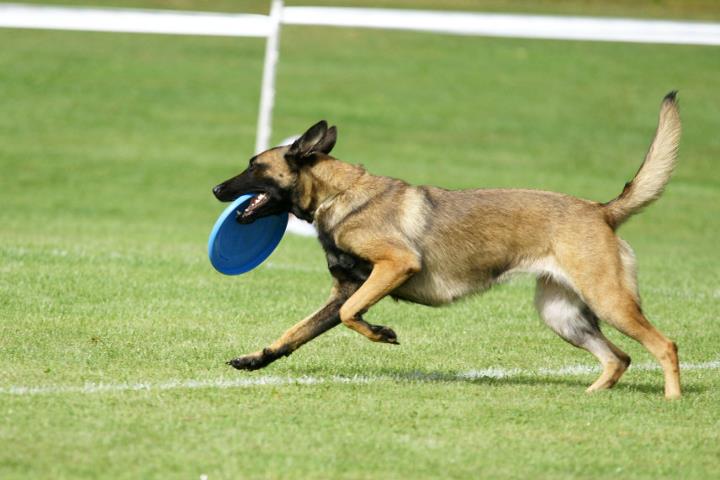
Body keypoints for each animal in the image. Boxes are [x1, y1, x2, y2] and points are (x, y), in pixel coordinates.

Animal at [212, 92, 682, 398]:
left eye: (254, 166)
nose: (216, 189)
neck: (338, 195)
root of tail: (601, 210)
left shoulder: (394, 265)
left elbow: (349, 315)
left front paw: (381, 333)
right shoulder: (345, 289)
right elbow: (296, 332)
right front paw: (255, 359)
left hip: (608, 300)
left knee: (664, 346)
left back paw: (672, 400)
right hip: (563, 315)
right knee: (618, 358)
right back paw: (592, 394)